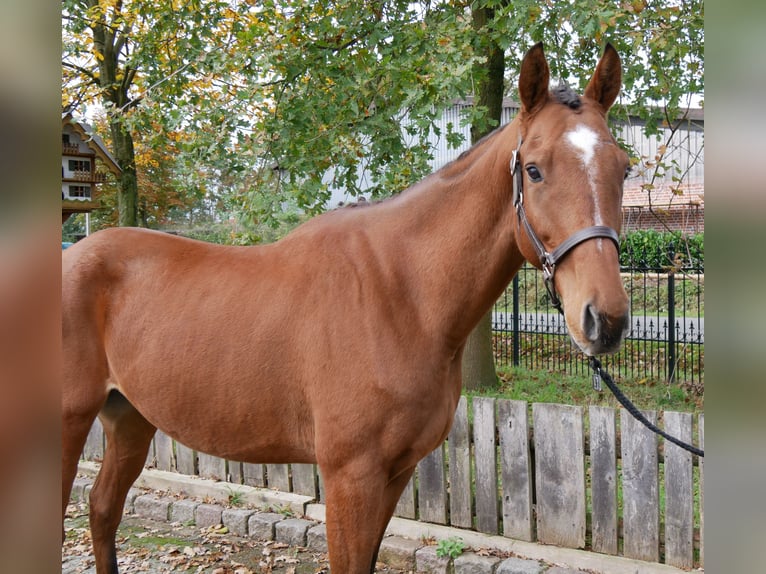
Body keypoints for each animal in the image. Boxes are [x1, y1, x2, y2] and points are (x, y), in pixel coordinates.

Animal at [64, 45, 632, 574]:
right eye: (534, 170)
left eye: (624, 169)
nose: (604, 320)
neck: (400, 295)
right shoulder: (348, 477)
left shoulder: (395, 472)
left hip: (130, 419)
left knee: (102, 509)